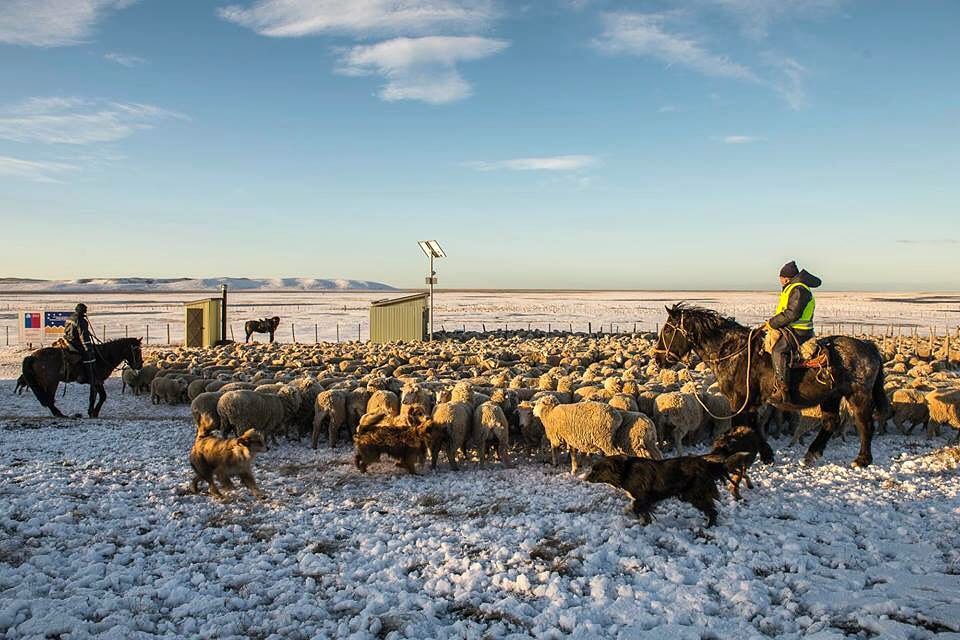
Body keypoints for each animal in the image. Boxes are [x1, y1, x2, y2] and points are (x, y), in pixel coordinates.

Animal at [584, 452, 752, 528]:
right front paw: (645, 522)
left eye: (596, 470)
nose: (585, 478)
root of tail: (706, 463)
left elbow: (636, 507)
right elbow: (642, 511)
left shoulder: (643, 498)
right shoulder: (644, 500)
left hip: (693, 494)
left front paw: (637, 519)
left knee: (712, 510)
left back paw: (709, 525)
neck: (625, 471)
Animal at [656, 302, 888, 468]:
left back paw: (862, 460)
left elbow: (744, 426)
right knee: (831, 422)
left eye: (667, 331)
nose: (658, 359)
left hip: (858, 394)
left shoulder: (740, 400)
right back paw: (811, 455)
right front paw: (766, 455)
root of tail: (869, 346)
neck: (734, 352)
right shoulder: (751, 402)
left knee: (864, 424)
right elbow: (754, 426)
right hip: (831, 396)